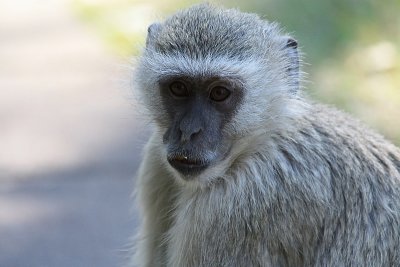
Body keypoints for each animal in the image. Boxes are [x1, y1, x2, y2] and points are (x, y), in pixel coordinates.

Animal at [133, 4, 400, 267]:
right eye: (178, 88)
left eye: (219, 93)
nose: (188, 131)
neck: (260, 142)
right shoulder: (155, 163)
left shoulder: (236, 209)